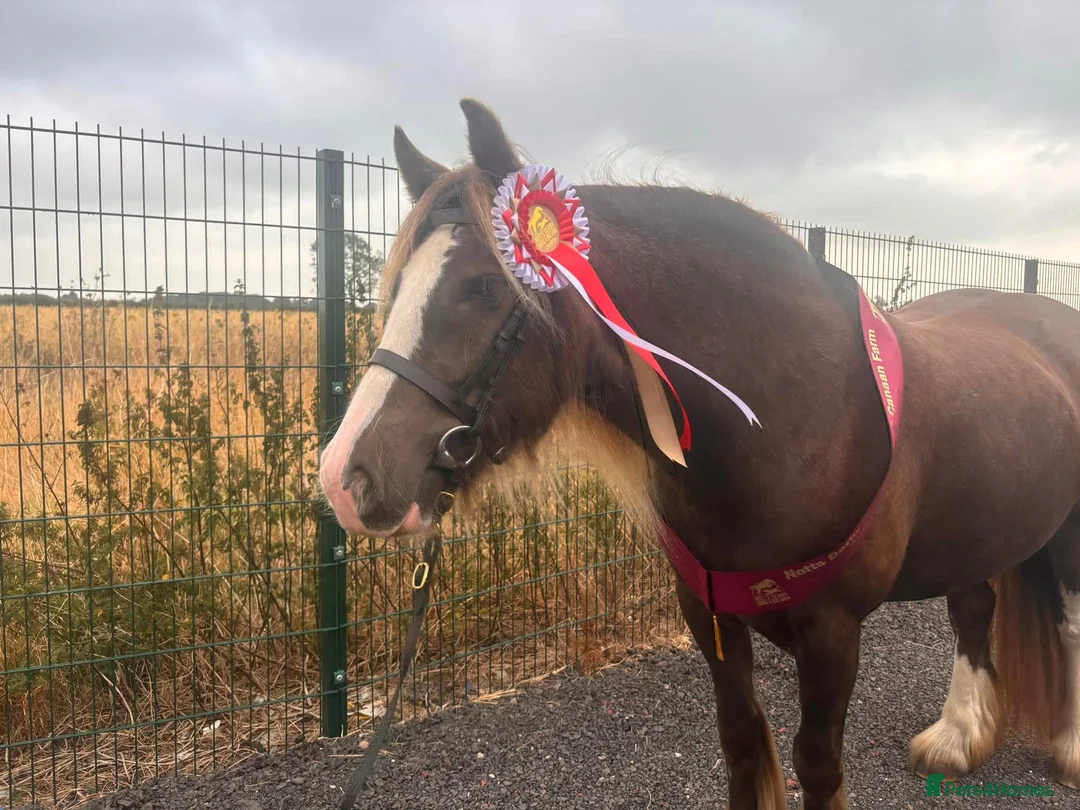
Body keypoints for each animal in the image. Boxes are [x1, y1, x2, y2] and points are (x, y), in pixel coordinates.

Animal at [318, 98, 1080, 809]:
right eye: (396, 288)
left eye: (480, 286)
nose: (344, 481)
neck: (791, 412)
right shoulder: (707, 615)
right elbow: (742, 744)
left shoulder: (832, 633)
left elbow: (817, 764)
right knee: (975, 608)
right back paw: (957, 736)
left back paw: (1068, 748)